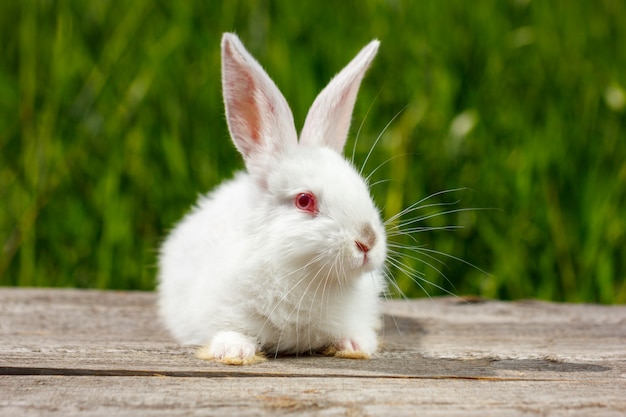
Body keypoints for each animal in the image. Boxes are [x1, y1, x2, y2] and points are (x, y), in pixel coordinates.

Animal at [156, 33, 386, 364]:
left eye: (362, 188)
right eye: (304, 200)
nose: (367, 241)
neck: (303, 275)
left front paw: (355, 346)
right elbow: (229, 330)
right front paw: (235, 351)